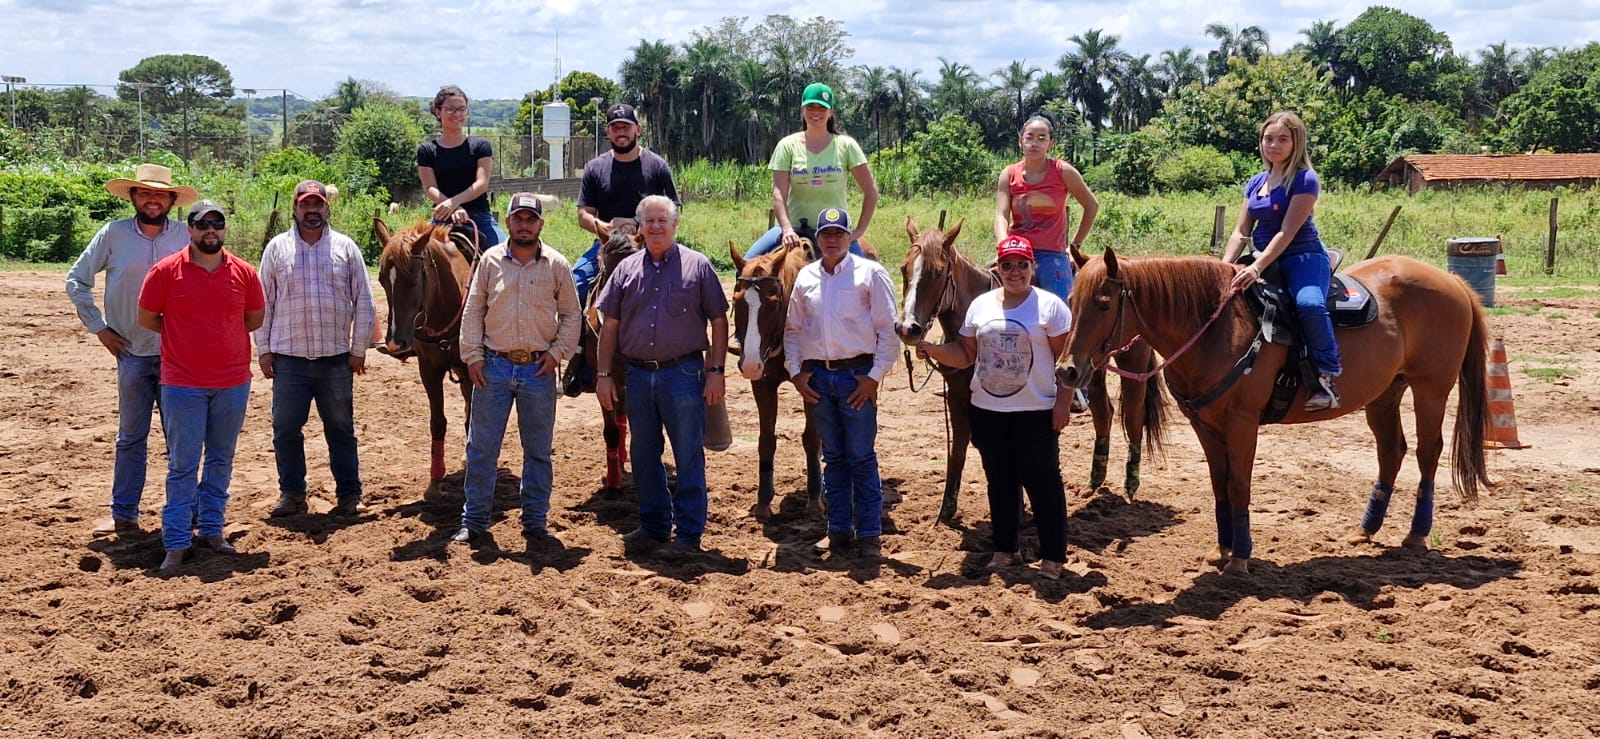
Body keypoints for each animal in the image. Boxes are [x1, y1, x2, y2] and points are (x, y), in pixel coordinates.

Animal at [374, 219, 473, 483]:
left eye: (413, 279)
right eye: (382, 280)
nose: (395, 342)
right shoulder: (428, 369)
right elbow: (437, 421)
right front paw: (436, 474)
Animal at [729, 239, 819, 518]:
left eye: (773, 301)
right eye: (736, 300)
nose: (749, 364)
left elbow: (811, 439)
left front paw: (815, 500)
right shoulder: (762, 384)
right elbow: (766, 440)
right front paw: (763, 502)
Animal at [896, 215, 1171, 521]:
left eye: (938, 272)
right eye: (904, 268)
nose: (907, 328)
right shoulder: (958, 397)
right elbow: (958, 450)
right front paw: (945, 513)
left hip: (1133, 362)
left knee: (1133, 417)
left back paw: (1130, 485)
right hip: (1092, 370)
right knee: (1104, 414)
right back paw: (1092, 484)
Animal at [1056, 251, 1491, 575]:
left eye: (1104, 304)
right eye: (1072, 301)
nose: (1067, 371)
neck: (1215, 329)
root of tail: (1453, 281)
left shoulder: (1243, 423)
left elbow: (1239, 485)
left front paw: (1240, 557)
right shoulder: (1204, 425)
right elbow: (1219, 485)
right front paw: (1221, 550)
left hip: (1431, 389)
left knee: (1427, 453)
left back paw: (1416, 534)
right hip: (1385, 393)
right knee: (1391, 452)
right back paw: (1365, 530)